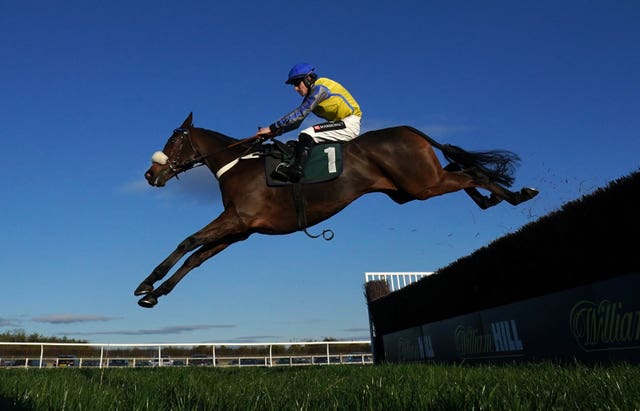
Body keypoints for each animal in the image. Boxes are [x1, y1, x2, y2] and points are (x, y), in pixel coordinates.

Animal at [138, 114, 536, 308]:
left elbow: (188, 241)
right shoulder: (240, 230)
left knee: (470, 173)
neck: (238, 163)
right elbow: (196, 257)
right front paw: (155, 293)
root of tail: (409, 130)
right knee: (462, 171)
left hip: (422, 184)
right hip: (411, 189)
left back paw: (515, 195)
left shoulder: (238, 219)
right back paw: (504, 196)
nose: (150, 174)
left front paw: (147, 282)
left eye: (171, 142)